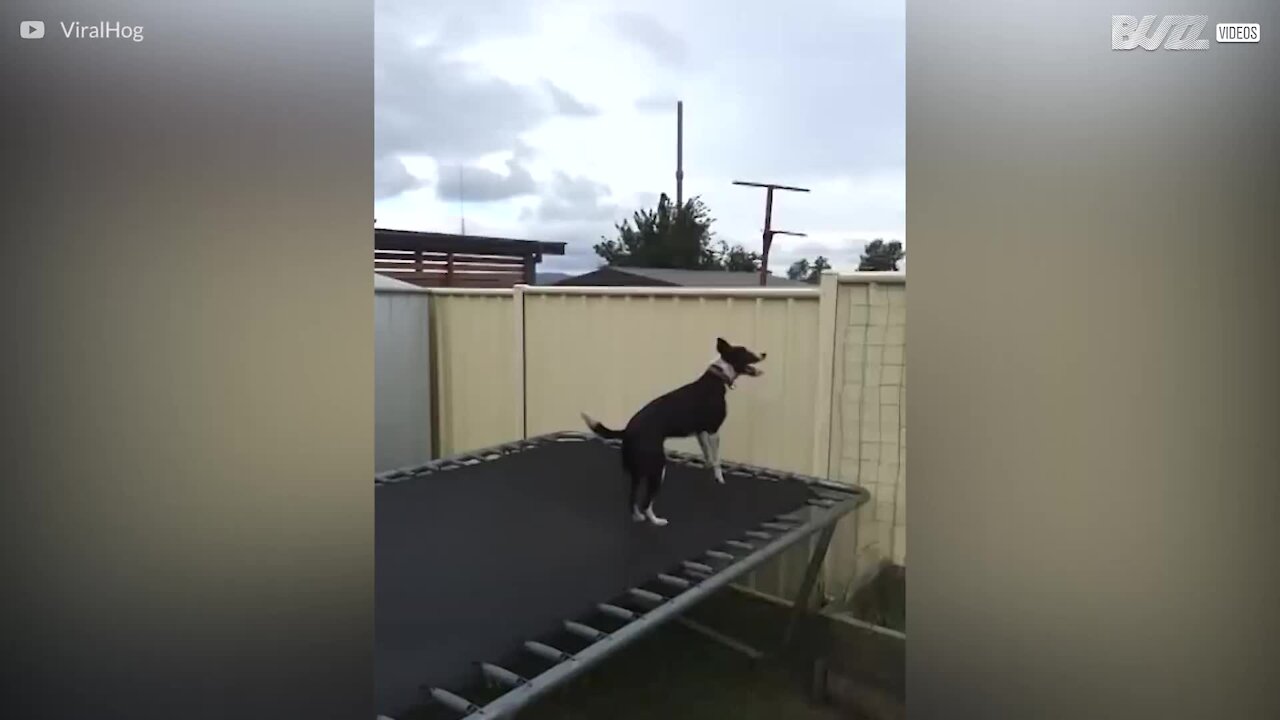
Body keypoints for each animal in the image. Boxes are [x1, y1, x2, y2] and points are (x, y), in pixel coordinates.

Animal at [583, 333, 768, 525]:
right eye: (745, 352)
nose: (764, 354)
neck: (719, 376)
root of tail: (627, 430)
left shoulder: (700, 432)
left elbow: (708, 455)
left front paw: (708, 468)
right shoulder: (713, 431)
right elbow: (716, 459)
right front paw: (720, 478)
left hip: (638, 472)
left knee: (633, 497)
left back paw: (638, 517)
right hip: (657, 469)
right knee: (646, 502)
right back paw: (656, 520)